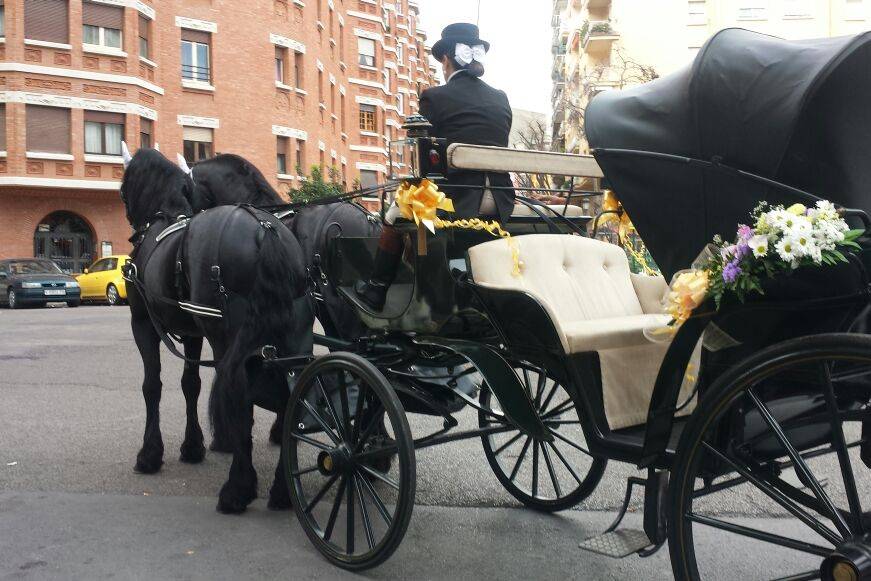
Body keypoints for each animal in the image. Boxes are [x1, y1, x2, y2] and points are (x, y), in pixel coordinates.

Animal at [120, 147, 314, 510]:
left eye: (123, 190)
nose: (132, 229)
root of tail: (266, 231)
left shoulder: (143, 326)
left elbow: (152, 385)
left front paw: (150, 454)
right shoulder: (193, 334)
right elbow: (191, 384)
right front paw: (192, 446)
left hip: (228, 341)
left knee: (240, 394)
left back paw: (237, 488)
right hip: (293, 338)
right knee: (289, 395)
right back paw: (282, 489)